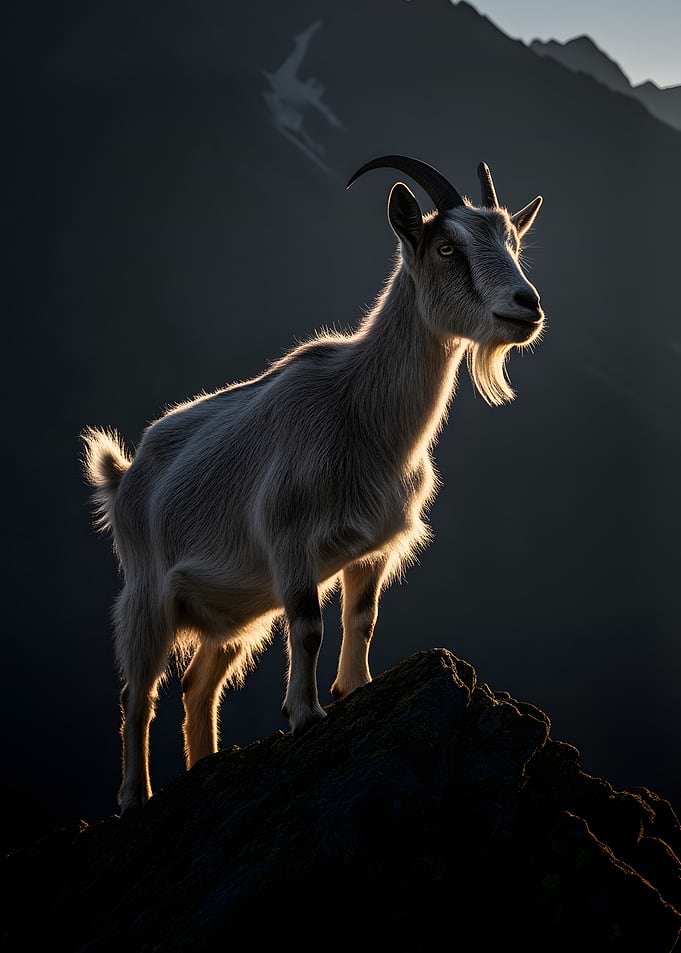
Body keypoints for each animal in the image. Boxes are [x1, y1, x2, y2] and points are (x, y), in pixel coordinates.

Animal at [83, 155, 545, 813]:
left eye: (513, 241)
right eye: (447, 247)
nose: (525, 305)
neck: (362, 416)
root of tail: (124, 477)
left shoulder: (374, 547)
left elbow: (361, 617)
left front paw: (355, 687)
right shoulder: (289, 541)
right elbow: (308, 628)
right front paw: (304, 714)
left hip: (237, 609)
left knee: (197, 687)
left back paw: (205, 764)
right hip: (146, 596)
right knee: (136, 695)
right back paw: (134, 796)